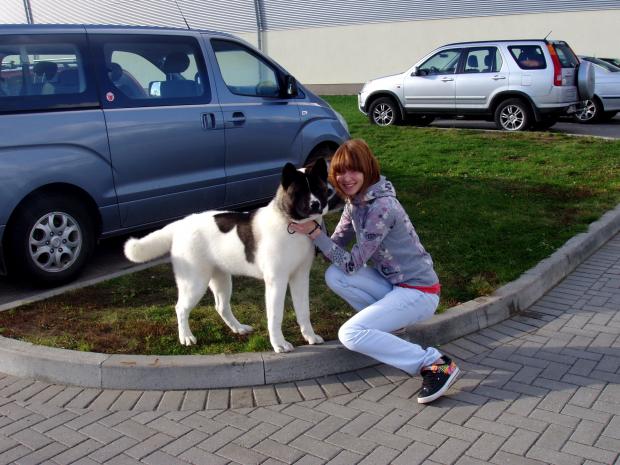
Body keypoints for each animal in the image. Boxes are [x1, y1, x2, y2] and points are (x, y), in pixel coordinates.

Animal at [123, 159, 332, 352]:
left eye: (318, 189)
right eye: (300, 193)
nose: (316, 204)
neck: (291, 225)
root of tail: (181, 224)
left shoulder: (300, 278)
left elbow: (304, 311)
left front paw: (310, 336)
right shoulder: (276, 281)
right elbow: (275, 316)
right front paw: (279, 344)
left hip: (221, 279)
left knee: (221, 307)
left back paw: (238, 329)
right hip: (194, 283)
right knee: (181, 308)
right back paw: (186, 337)